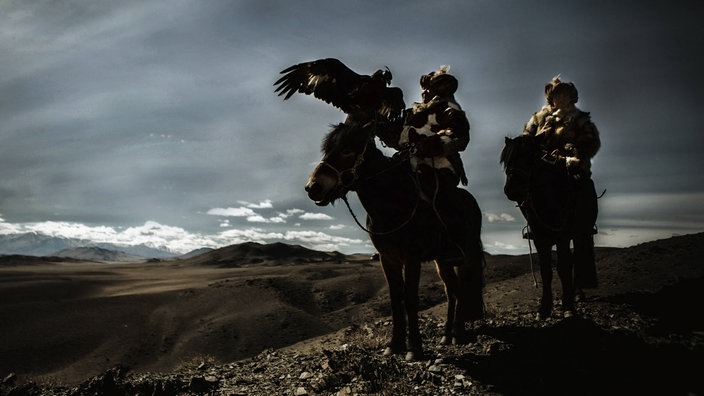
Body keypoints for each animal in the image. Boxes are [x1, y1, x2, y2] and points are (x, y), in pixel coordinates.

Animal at [302, 120, 484, 358]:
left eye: (347, 150)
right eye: (327, 149)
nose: (313, 187)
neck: (391, 203)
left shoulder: (412, 258)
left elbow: (410, 299)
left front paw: (414, 348)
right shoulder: (388, 259)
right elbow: (395, 298)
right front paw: (394, 345)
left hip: (467, 255)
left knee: (461, 287)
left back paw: (457, 334)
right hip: (442, 261)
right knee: (451, 290)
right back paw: (446, 335)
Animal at [498, 134, 580, 318]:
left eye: (529, 157)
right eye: (506, 160)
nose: (511, 189)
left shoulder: (562, 236)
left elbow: (563, 268)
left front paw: (568, 306)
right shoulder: (539, 239)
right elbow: (545, 272)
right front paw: (544, 308)